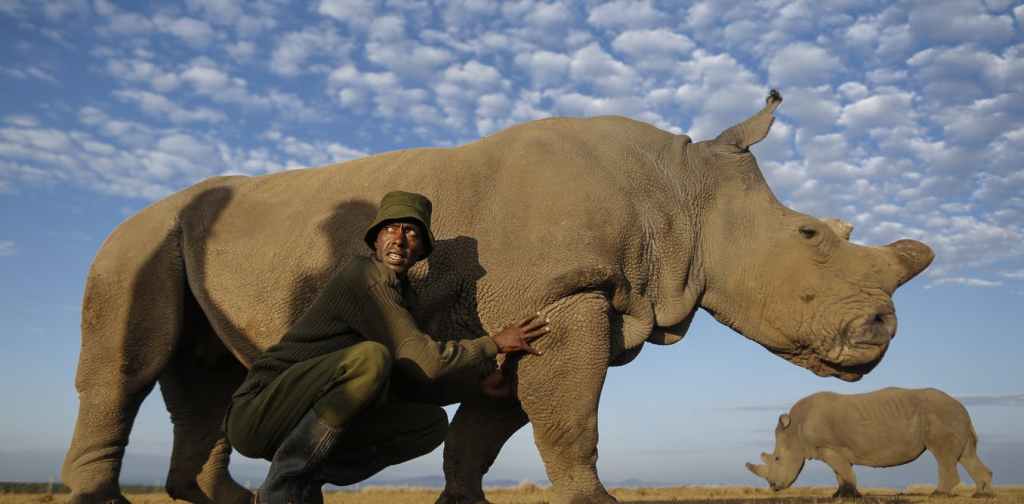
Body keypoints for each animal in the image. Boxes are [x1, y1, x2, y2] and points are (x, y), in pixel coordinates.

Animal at [61, 90, 934, 504]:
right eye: (810, 235)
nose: (883, 328)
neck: (683, 191)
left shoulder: (544, 307)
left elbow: (486, 428)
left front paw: (462, 499)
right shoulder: (568, 295)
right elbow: (570, 418)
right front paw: (598, 501)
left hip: (188, 242)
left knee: (205, 383)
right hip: (135, 240)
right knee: (127, 369)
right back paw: (104, 497)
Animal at [746, 387, 995, 498]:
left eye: (777, 458)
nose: (773, 486)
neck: (795, 430)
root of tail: (962, 407)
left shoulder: (830, 447)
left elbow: (844, 471)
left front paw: (848, 496)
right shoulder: (833, 450)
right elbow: (840, 472)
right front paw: (840, 496)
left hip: (941, 414)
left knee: (942, 455)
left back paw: (937, 494)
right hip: (952, 416)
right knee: (966, 455)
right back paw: (982, 495)